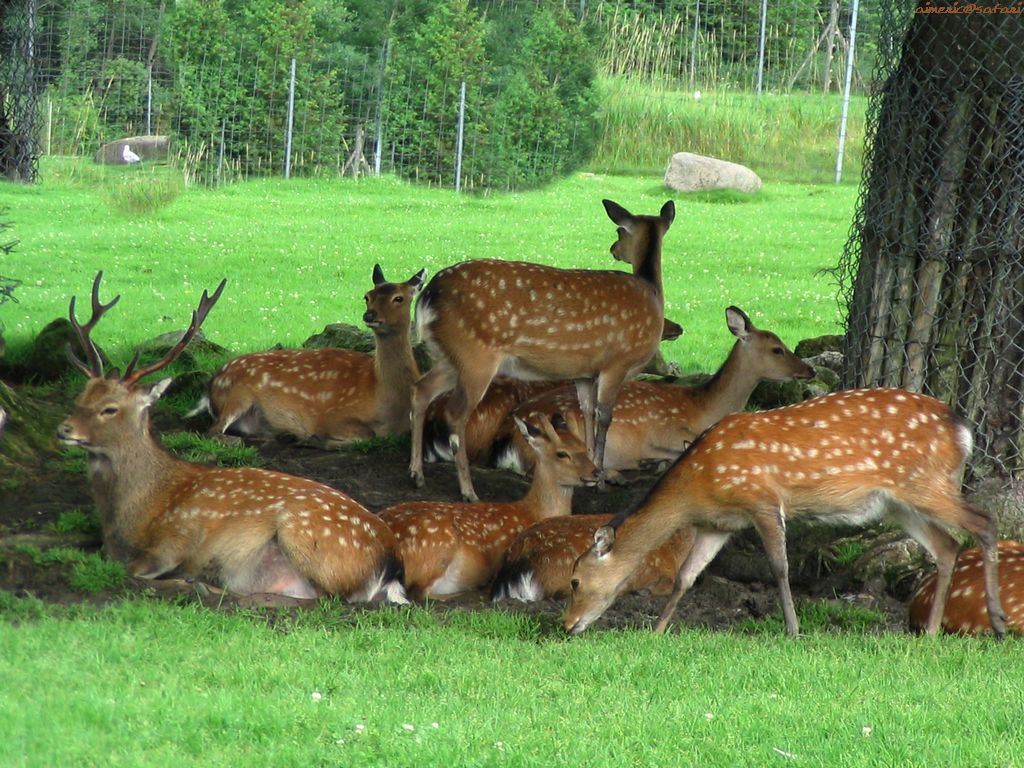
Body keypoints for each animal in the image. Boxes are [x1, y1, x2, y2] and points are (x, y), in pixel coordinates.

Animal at [58, 272, 407, 604]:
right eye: (80, 397)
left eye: (110, 408)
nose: (64, 429)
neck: (134, 513)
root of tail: (390, 565)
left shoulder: (176, 538)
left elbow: (131, 572)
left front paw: (191, 583)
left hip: (307, 535)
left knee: (323, 599)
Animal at [201, 264, 425, 445]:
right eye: (367, 296)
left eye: (399, 298)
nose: (369, 315)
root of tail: (214, 381)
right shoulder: (333, 416)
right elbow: (367, 435)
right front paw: (316, 439)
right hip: (239, 394)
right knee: (213, 431)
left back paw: (286, 436)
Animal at [380, 414, 599, 600]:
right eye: (562, 454)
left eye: (585, 447)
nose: (596, 472)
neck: (534, 511)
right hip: (436, 548)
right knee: (419, 593)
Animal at [409, 198, 675, 502]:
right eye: (620, 230)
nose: (614, 249)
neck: (652, 292)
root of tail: (427, 296)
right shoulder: (617, 362)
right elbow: (605, 416)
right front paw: (602, 479)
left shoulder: (585, 373)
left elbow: (587, 413)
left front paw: (592, 470)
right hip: (476, 356)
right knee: (455, 413)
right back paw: (469, 491)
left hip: (450, 357)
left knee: (421, 390)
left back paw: (416, 475)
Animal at [563, 388, 1007, 638]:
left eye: (575, 580)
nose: (567, 625)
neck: (697, 485)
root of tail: (962, 428)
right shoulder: (718, 524)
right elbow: (685, 577)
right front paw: (656, 632)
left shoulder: (762, 499)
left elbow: (779, 567)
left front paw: (793, 631)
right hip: (898, 502)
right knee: (947, 545)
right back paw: (930, 632)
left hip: (926, 482)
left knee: (984, 522)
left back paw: (999, 621)